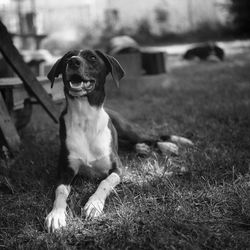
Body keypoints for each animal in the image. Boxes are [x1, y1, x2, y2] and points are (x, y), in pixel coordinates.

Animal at [45, 48, 192, 232]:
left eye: (92, 57)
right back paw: (142, 148)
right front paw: (56, 214)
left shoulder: (118, 168)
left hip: (128, 129)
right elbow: (60, 192)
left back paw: (169, 145)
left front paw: (94, 204)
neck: (85, 118)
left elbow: (105, 182)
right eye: (67, 58)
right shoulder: (64, 171)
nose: (73, 62)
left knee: (152, 137)